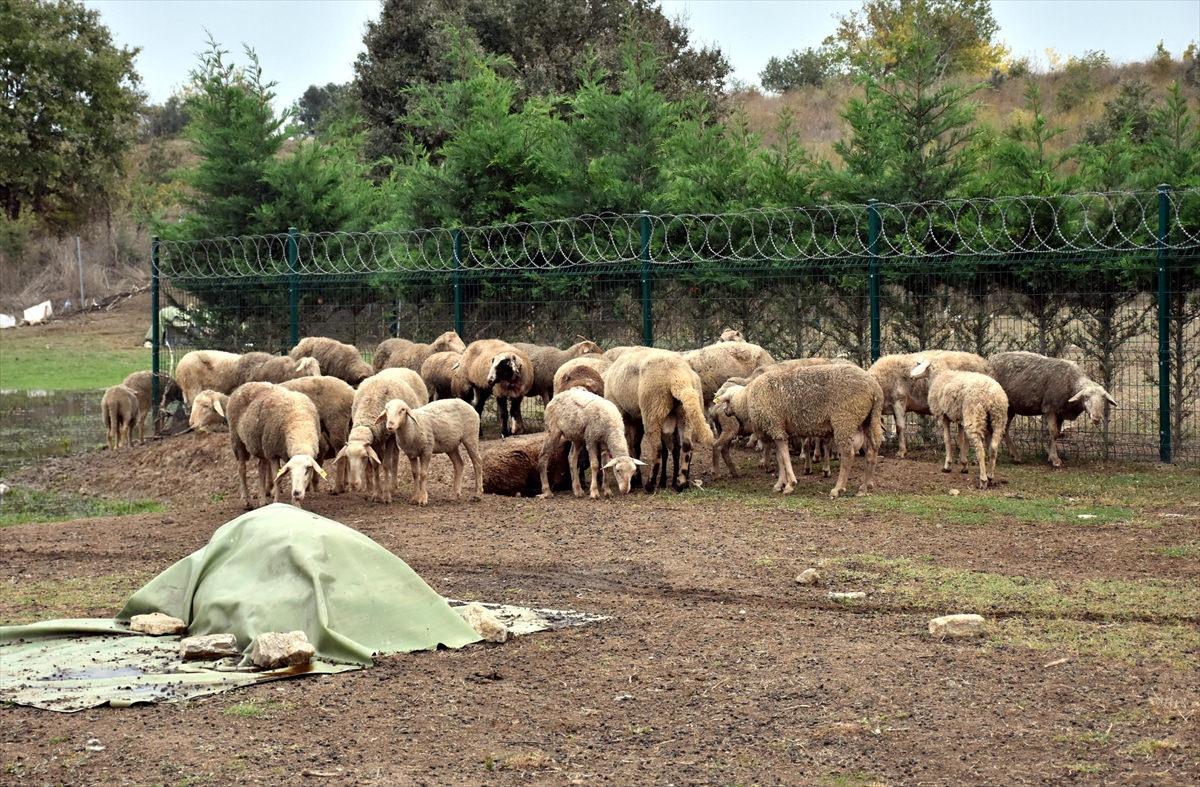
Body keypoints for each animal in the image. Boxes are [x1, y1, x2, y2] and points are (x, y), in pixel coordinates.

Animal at [336, 364, 429, 501]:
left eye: (363, 457)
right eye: (347, 457)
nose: (353, 485)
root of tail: (402, 367)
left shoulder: (389, 438)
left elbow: (386, 465)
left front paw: (386, 496)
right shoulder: (375, 441)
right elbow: (375, 464)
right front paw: (376, 494)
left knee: (394, 458)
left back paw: (393, 488)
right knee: (395, 455)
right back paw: (392, 486)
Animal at [600, 347, 710, 491]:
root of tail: (679, 375)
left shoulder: (624, 415)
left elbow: (630, 445)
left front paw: (636, 479)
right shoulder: (637, 419)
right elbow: (635, 446)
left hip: (653, 410)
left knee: (657, 448)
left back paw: (650, 484)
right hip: (685, 413)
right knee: (686, 445)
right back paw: (680, 483)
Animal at [715, 364, 888, 499]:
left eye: (725, 400)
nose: (724, 411)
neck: (746, 398)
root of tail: (875, 389)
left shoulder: (775, 425)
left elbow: (784, 457)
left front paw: (790, 484)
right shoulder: (780, 429)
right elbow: (780, 458)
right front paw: (780, 483)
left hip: (845, 419)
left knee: (848, 454)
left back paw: (838, 489)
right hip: (869, 419)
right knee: (872, 451)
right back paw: (865, 487)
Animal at [912, 357, 1008, 489]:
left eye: (919, 364)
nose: (911, 376)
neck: (939, 375)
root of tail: (991, 394)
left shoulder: (944, 415)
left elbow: (947, 439)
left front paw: (947, 465)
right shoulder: (960, 418)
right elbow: (962, 441)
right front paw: (964, 465)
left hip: (973, 414)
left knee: (980, 449)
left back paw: (983, 480)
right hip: (998, 419)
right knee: (993, 448)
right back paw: (990, 476)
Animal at [984, 350, 1113, 467]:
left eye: (1103, 398)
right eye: (1086, 397)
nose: (1096, 417)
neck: (1070, 383)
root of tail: (989, 360)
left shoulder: (1060, 412)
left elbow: (1057, 434)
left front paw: (1051, 457)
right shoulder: (1050, 408)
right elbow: (1053, 432)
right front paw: (1055, 459)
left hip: (1010, 409)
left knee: (1003, 429)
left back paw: (1015, 456)